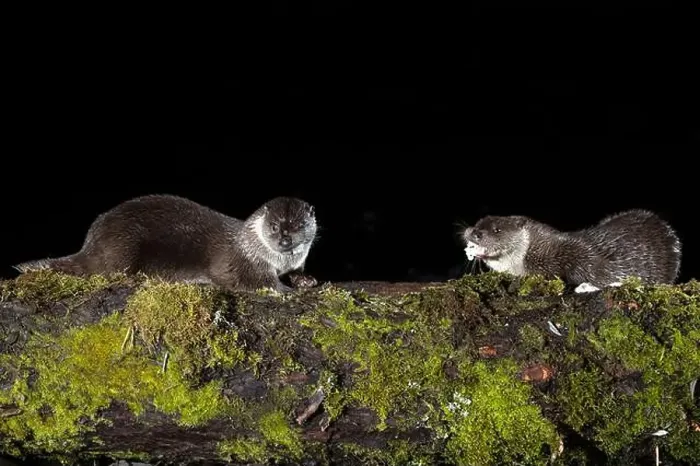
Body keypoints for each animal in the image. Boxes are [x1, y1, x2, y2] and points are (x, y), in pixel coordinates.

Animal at [14, 194, 319, 293]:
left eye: (299, 226)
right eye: (275, 226)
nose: (284, 239)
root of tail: (90, 243)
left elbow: (297, 272)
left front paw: (305, 281)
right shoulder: (242, 260)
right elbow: (250, 280)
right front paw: (284, 290)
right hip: (124, 246)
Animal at [461, 209, 681, 293]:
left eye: (497, 229)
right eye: (478, 223)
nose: (473, 232)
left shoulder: (576, 250)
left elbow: (597, 268)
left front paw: (587, 286)